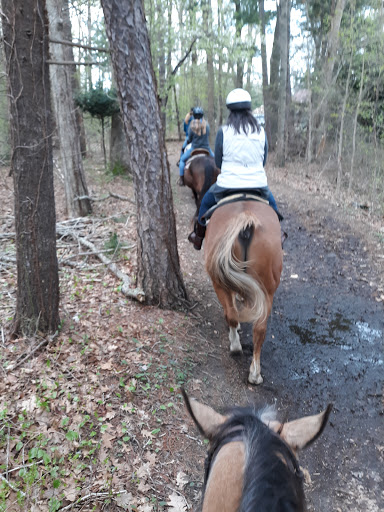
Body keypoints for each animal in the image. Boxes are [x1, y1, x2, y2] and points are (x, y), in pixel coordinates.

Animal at [204, 200, 282, 384]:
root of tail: (247, 222)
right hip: (267, 291)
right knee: (259, 328)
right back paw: (255, 374)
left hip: (219, 283)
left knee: (231, 314)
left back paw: (235, 346)